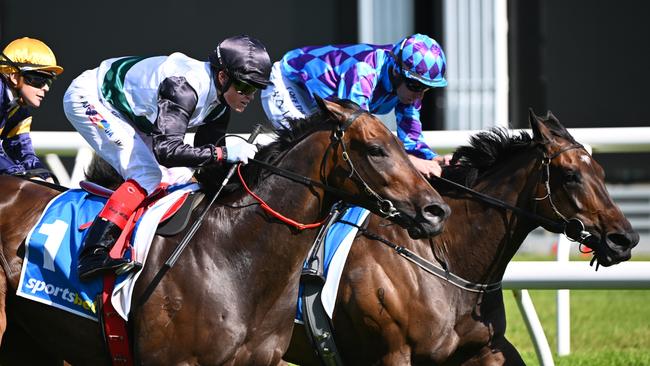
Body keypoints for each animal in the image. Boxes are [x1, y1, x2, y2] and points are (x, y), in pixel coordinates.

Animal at [284, 110, 636, 364]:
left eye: (601, 173)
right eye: (570, 175)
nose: (625, 239)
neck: (447, 258)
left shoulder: (486, 347)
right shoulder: (392, 354)